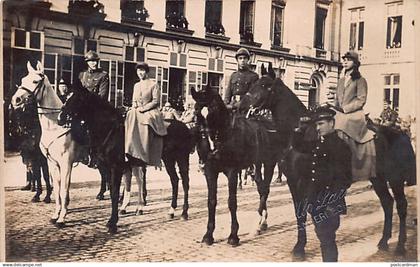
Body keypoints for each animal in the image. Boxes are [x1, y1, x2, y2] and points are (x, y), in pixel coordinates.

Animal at [10, 61, 81, 228]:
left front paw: (62, 218)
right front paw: (56, 215)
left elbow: (63, 189)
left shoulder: (66, 163)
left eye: (35, 81)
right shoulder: (52, 163)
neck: (56, 125)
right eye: (23, 79)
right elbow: (57, 188)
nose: (15, 100)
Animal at [248, 65, 416, 258]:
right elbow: (299, 213)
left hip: (395, 179)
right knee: (387, 203)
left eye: (266, 86)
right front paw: (299, 246)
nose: (245, 105)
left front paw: (300, 248)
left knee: (401, 206)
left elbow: (305, 211)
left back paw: (400, 246)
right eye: (255, 83)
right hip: (378, 178)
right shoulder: (292, 181)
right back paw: (383, 241)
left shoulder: (305, 181)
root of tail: (400, 133)